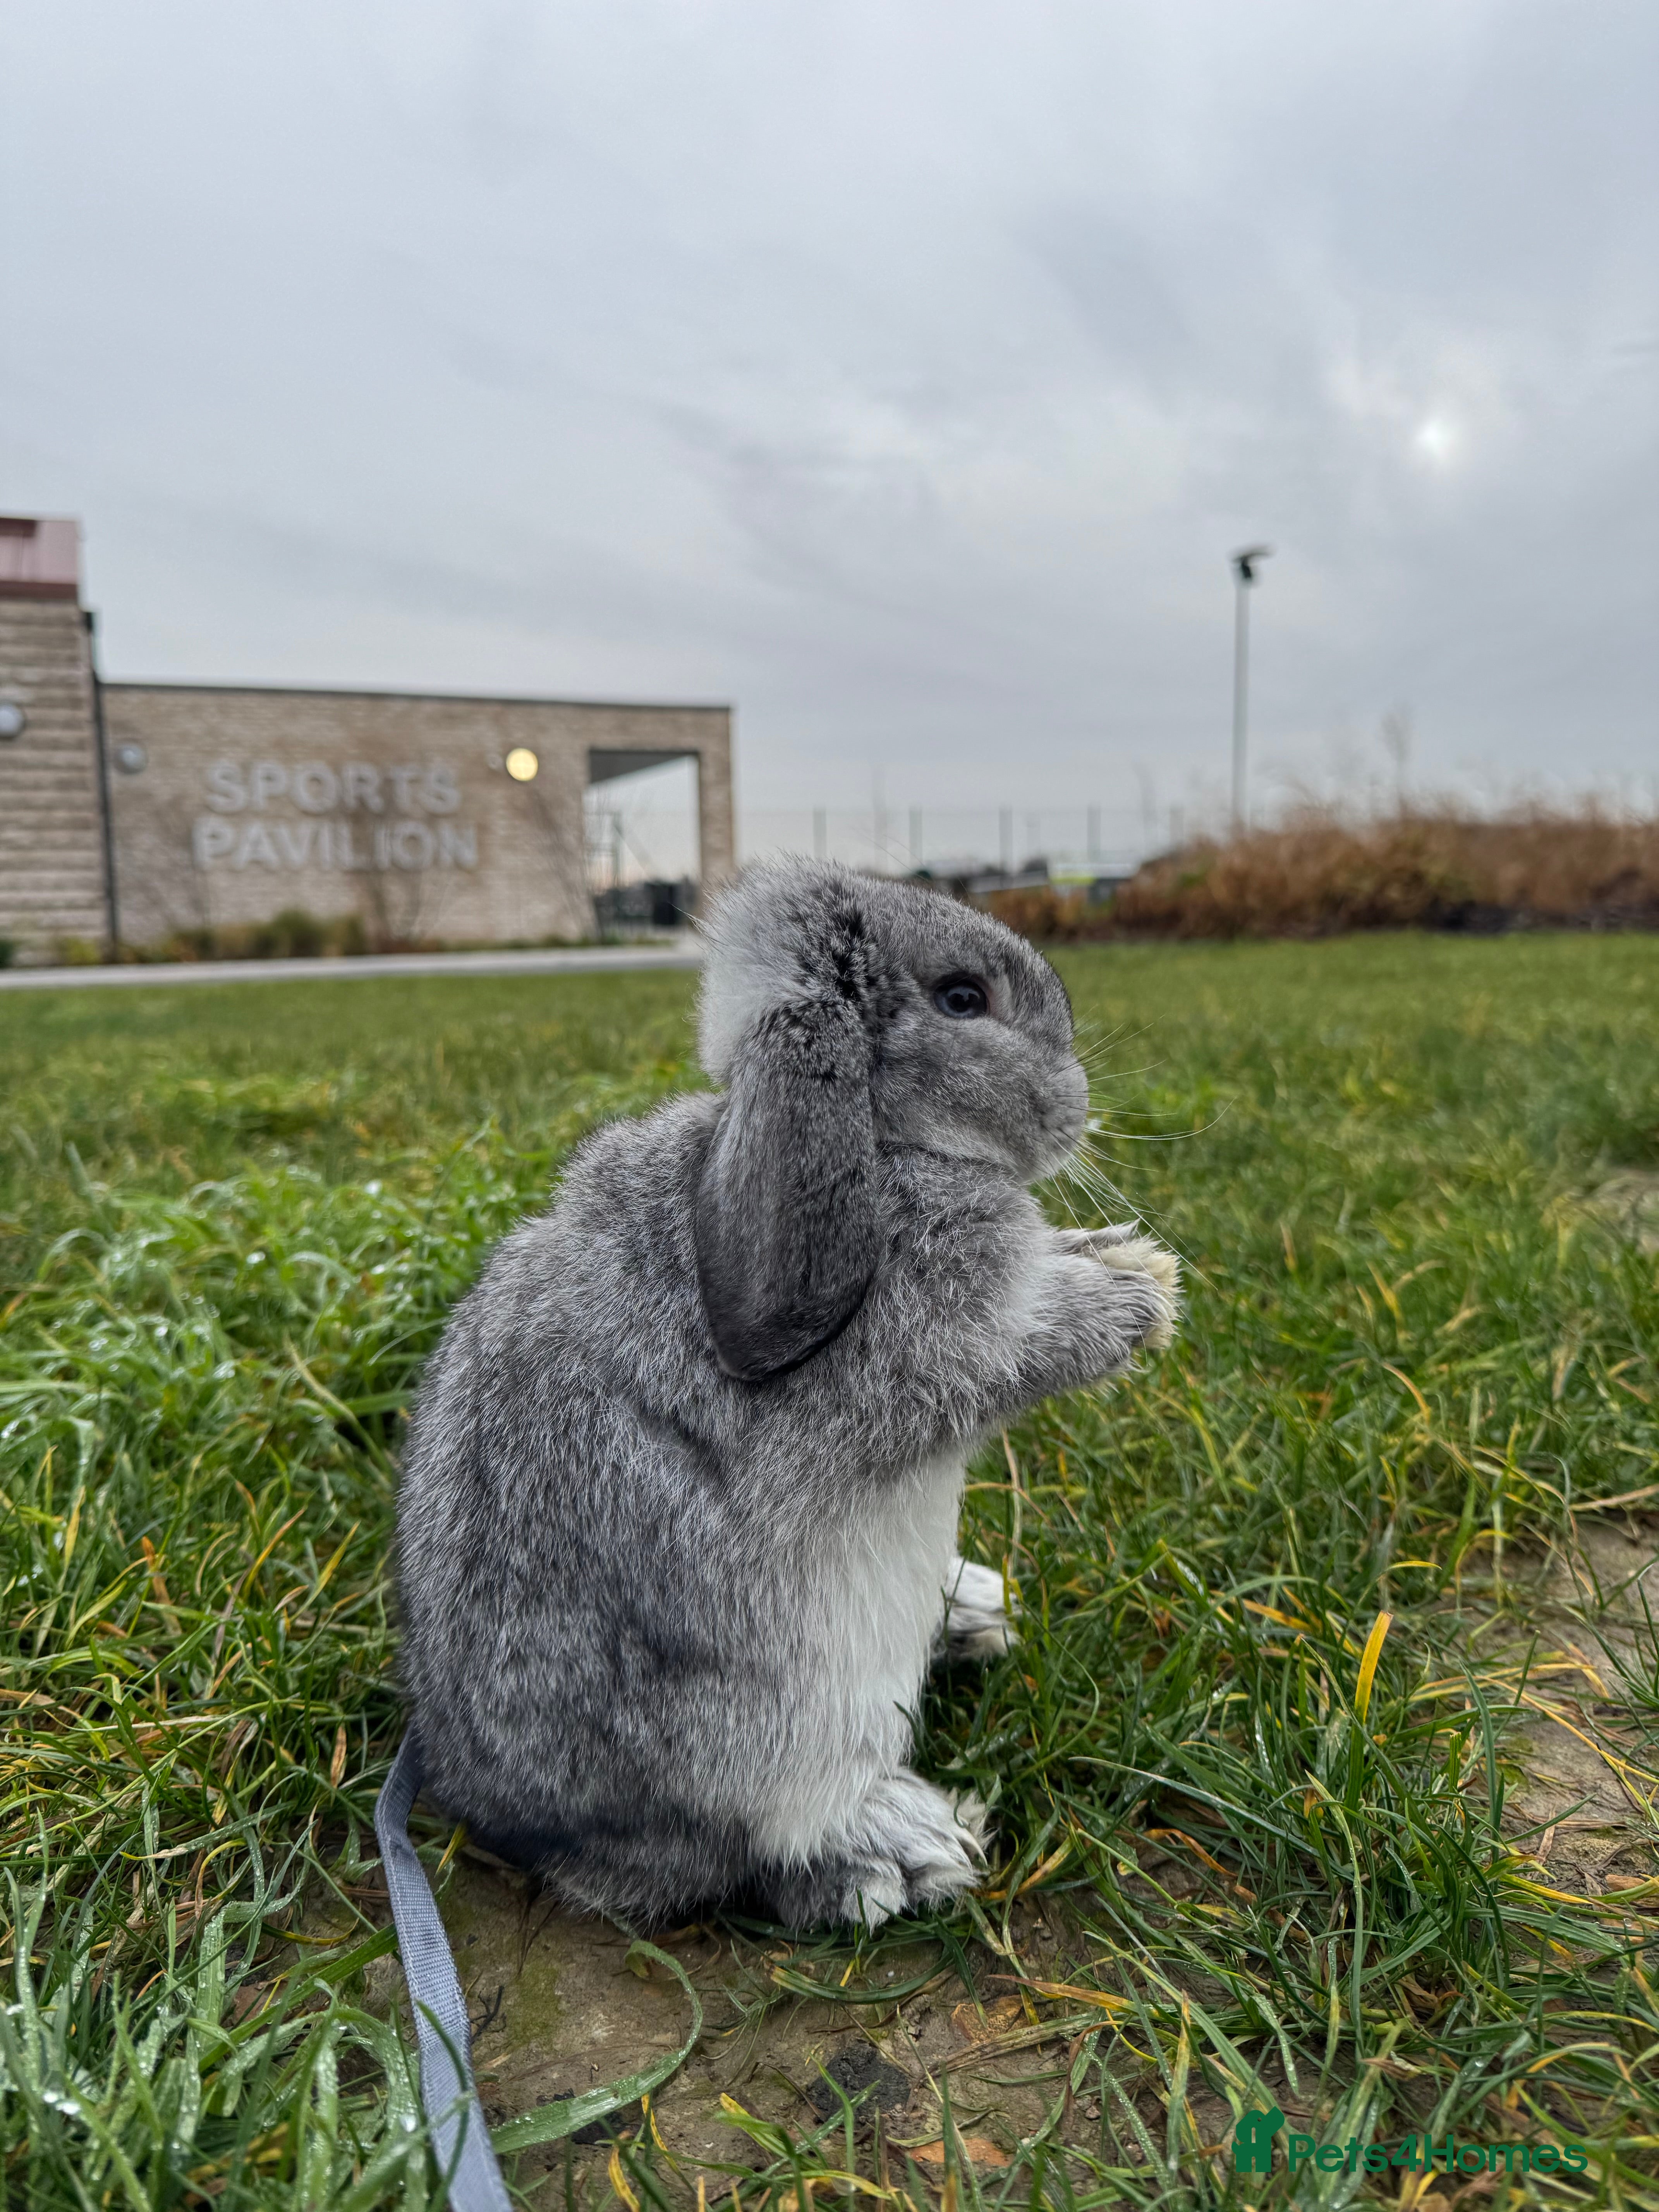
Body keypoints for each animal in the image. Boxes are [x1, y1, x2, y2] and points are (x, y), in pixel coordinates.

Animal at [395, 859, 1178, 1931]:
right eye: (962, 999)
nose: (1078, 1108)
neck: (883, 1142)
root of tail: (535, 1834)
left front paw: (1124, 1255)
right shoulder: (929, 1356)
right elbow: (1010, 1354)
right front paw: (1139, 1297)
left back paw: (971, 1614)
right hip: (789, 1717)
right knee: (772, 1843)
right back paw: (905, 1847)